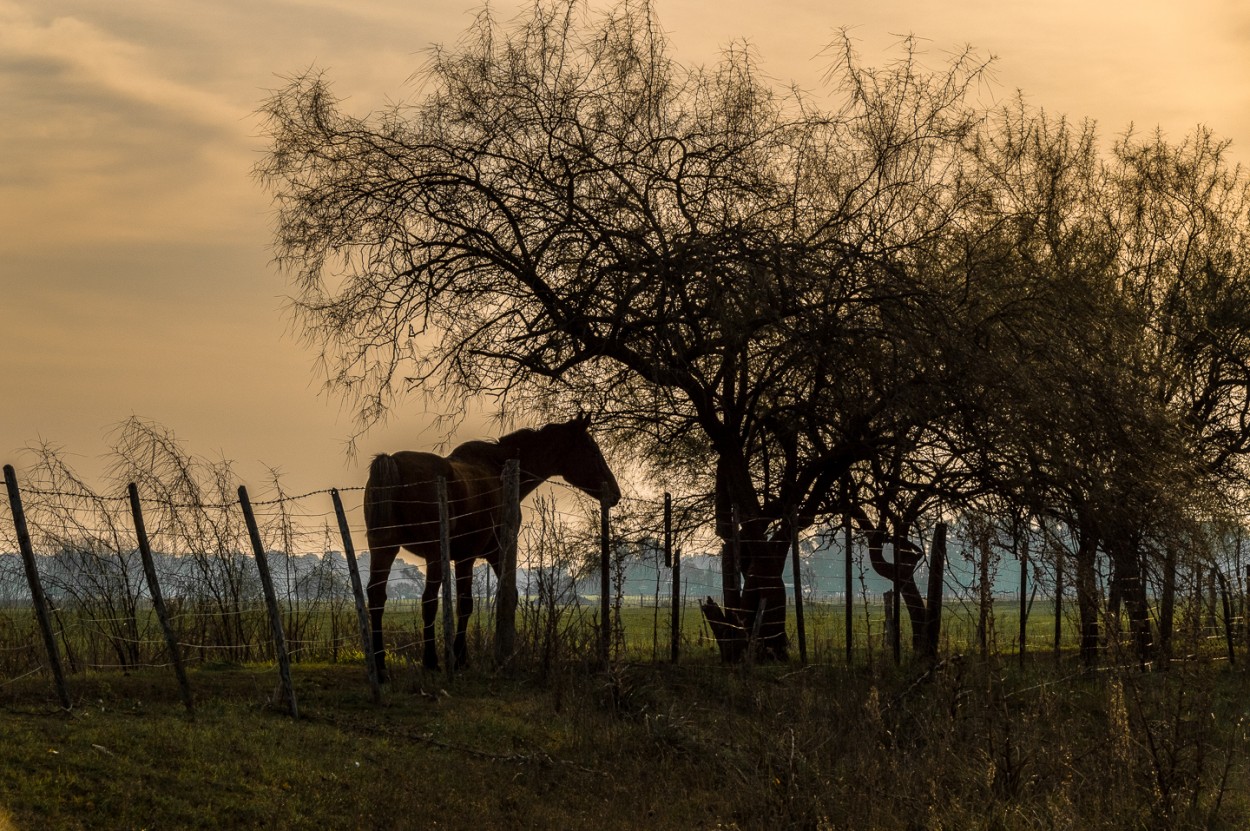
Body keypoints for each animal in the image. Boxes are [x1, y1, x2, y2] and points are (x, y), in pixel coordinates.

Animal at [362, 414, 620, 674]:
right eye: (593, 450)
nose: (615, 494)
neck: (499, 471)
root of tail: (392, 462)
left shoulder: (466, 557)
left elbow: (476, 602)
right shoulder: (485, 555)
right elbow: (480, 602)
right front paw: (464, 657)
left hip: (384, 548)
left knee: (376, 597)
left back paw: (380, 665)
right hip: (432, 553)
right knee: (428, 601)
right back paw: (430, 661)